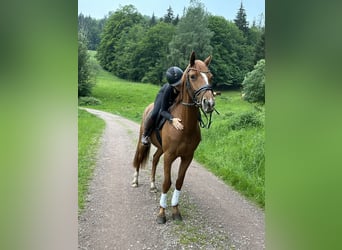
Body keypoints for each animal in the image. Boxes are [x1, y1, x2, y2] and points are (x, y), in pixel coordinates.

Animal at [132, 51, 215, 223]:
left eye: (211, 77)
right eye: (193, 76)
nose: (209, 103)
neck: (185, 126)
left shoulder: (187, 157)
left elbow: (178, 182)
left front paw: (176, 210)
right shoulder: (169, 156)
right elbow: (166, 182)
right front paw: (162, 213)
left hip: (161, 149)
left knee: (155, 159)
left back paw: (152, 185)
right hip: (143, 141)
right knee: (138, 157)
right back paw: (135, 180)